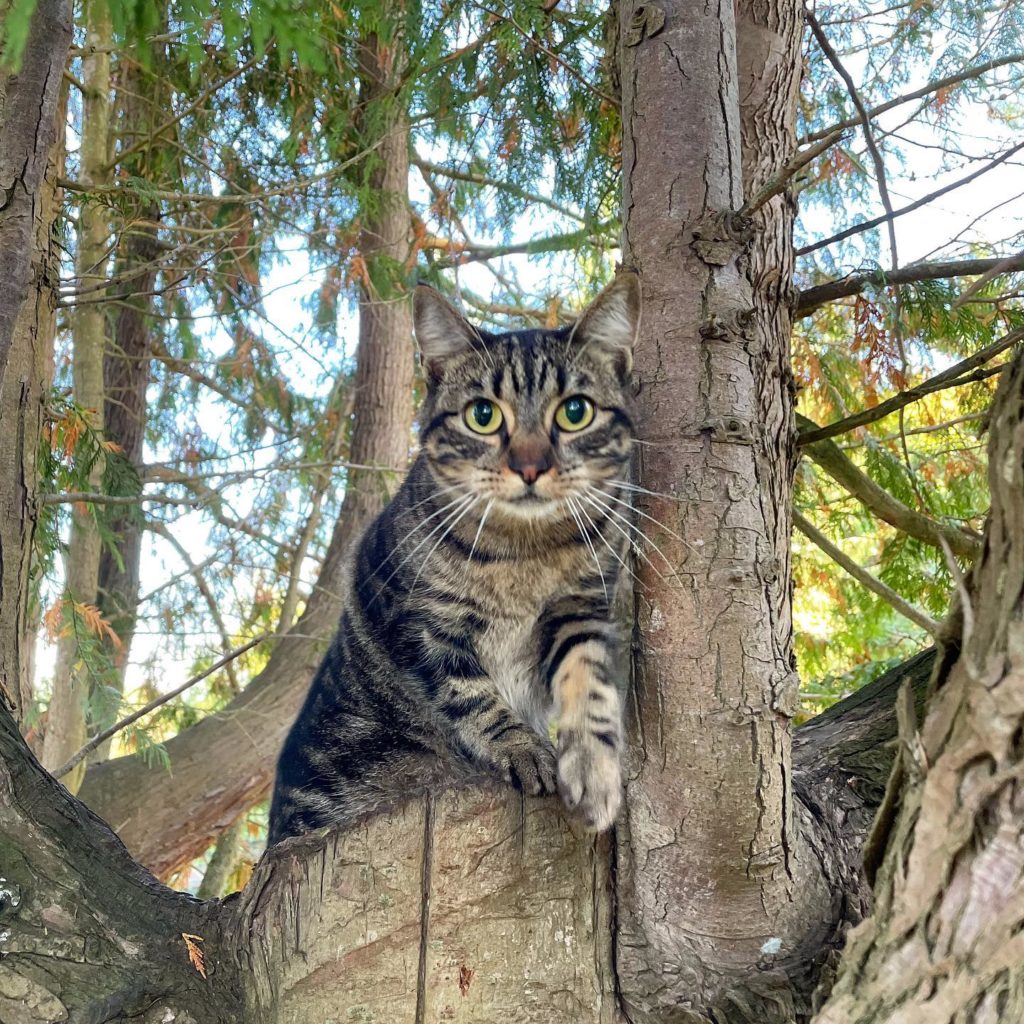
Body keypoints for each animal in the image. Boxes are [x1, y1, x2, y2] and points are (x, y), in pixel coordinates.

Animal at [270, 270, 638, 839]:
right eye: (482, 416)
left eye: (574, 412)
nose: (530, 467)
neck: (525, 553)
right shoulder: (422, 624)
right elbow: (472, 694)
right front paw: (524, 748)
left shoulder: (580, 608)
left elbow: (590, 681)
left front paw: (594, 770)